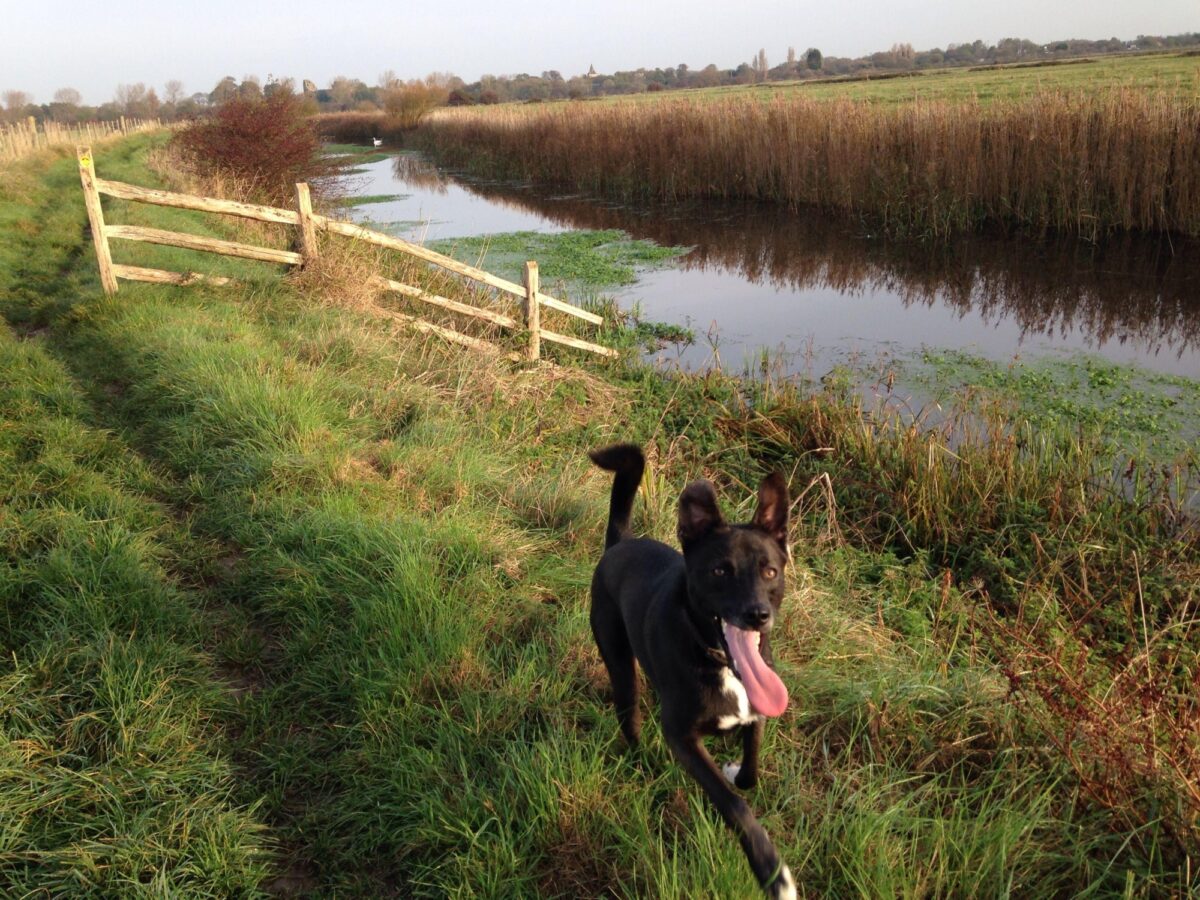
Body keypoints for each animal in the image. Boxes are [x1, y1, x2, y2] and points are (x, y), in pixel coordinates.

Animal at [590, 448, 796, 897]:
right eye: (720, 571)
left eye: (770, 571)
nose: (758, 615)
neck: (718, 659)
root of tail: (620, 542)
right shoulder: (682, 737)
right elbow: (733, 803)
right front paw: (772, 871)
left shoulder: (757, 710)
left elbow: (750, 772)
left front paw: (737, 769)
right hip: (619, 665)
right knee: (630, 719)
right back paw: (644, 762)